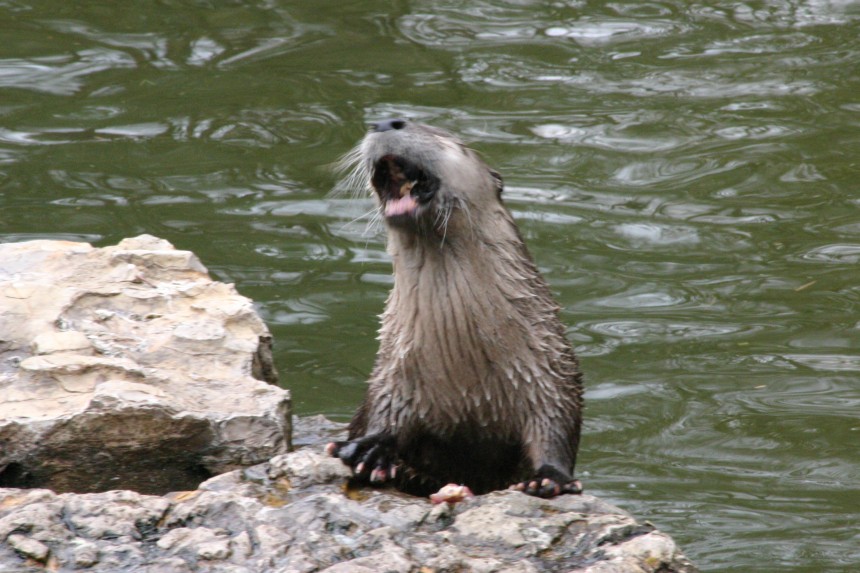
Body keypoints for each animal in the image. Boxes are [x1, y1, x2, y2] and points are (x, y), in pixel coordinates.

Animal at [330, 117, 584, 496]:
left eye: (444, 138)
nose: (386, 121)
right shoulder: (394, 370)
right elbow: (382, 409)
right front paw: (371, 451)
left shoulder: (549, 367)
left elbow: (557, 424)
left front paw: (549, 477)